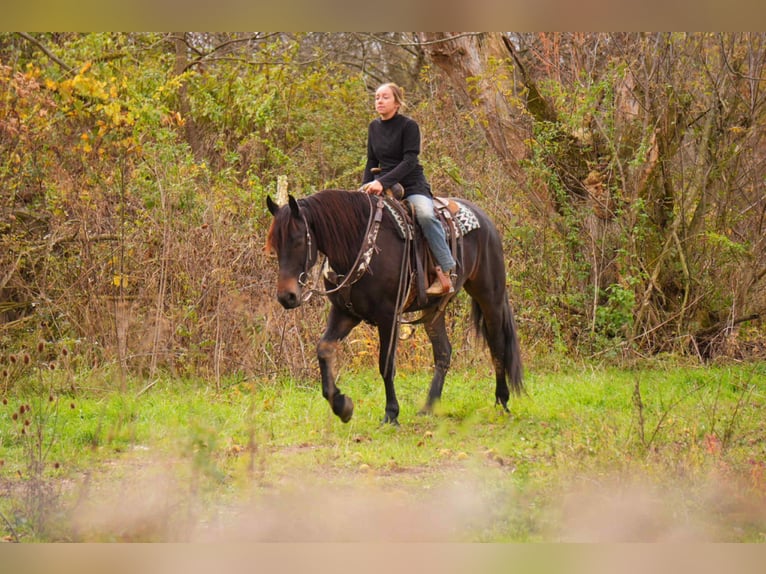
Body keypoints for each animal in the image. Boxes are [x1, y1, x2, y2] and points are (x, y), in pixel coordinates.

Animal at [266, 189, 522, 425]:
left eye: (298, 240)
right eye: (275, 245)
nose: (287, 296)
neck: (357, 244)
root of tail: (485, 219)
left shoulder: (388, 316)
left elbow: (386, 364)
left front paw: (391, 413)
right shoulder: (344, 313)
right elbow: (324, 349)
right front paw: (342, 405)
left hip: (490, 296)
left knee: (498, 346)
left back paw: (501, 401)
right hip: (433, 310)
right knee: (443, 352)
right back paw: (429, 407)